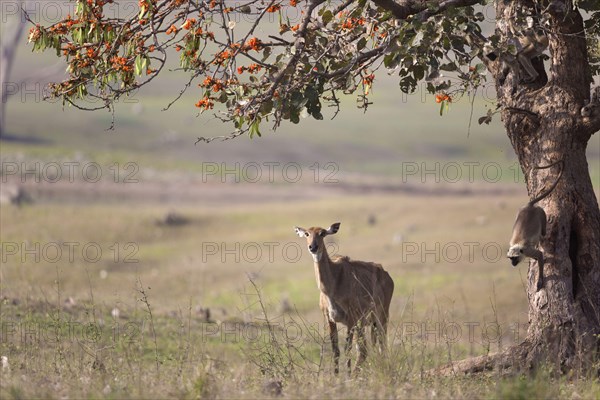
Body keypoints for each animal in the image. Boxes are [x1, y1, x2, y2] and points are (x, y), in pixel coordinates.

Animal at [294, 223, 394, 374]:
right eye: (307, 234)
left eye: (322, 233)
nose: (313, 247)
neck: (333, 284)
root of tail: (388, 277)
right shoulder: (330, 319)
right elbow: (336, 350)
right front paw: (336, 376)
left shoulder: (351, 319)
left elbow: (347, 349)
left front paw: (347, 376)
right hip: (365, 324)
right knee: (365, 349)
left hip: (381, 317)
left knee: (380, 346)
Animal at [506, 159, 564, 290]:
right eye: (510, 258)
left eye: (514, 258)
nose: (512, 263)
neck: (518, 246)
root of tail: (529, 206)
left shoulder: (527, 250)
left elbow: (540, 255)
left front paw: (540, 281)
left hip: (541, 213)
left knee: (543, 233)